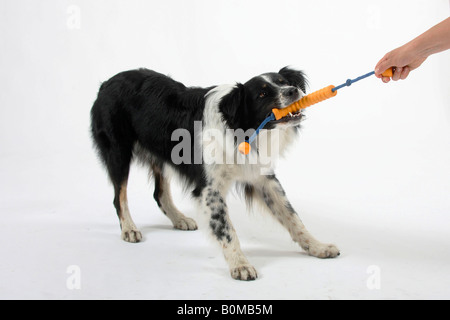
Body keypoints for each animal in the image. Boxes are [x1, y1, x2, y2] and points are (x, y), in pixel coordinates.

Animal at [89, 67, 340, 280]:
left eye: (284, 82)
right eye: (261, 94)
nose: (292, 91)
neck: (239, 128)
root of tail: (106, 83)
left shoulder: (262, 178)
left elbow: (293, 218)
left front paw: (317, 247)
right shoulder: (210, 189)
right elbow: (226, 229)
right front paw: (240, 264)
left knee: (159, 193)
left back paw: (179, 219)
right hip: (118, 151)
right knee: (119, 196)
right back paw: (129, 229)